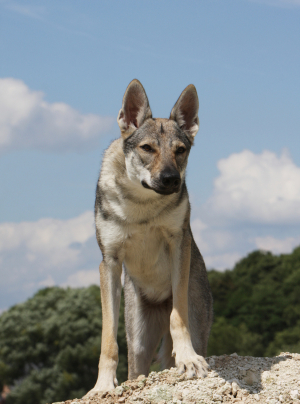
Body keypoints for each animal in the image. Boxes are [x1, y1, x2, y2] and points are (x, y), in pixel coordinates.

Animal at [89, 79, 213, 394]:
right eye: (147, 148)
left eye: (180, 150)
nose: (171, 179)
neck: (142, 206)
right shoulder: (109, 262)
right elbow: (108, 341)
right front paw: (102, 386)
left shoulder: (178, 244)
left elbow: (178, 318)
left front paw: (188, 360)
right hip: (139, 342)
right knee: (136, 370)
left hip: (197, 325)